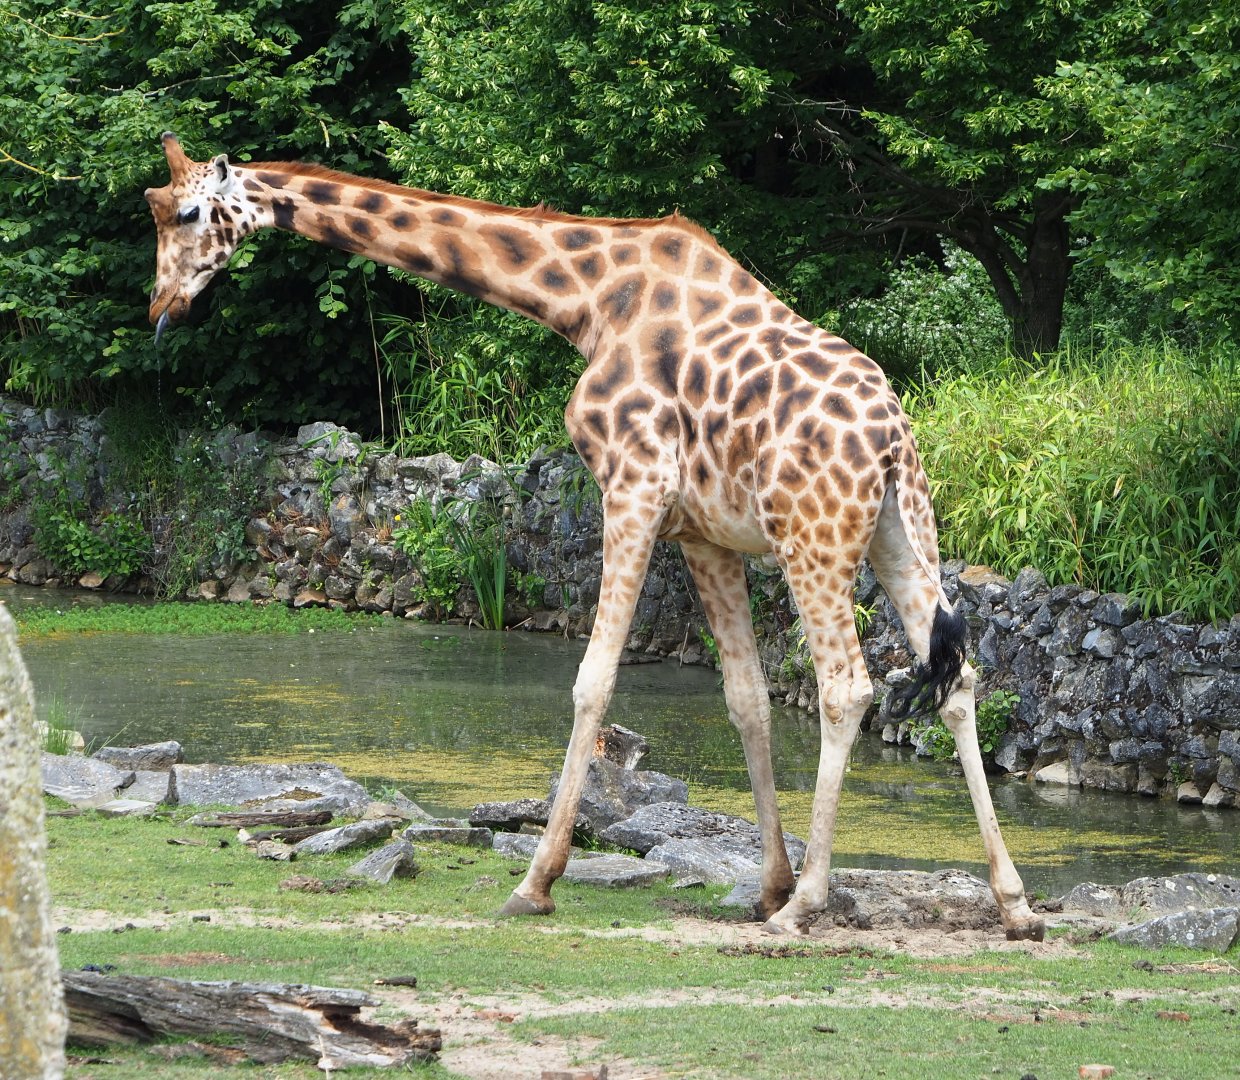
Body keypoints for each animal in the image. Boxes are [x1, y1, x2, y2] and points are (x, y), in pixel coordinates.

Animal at [145, 133, 1044, 941]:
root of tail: (891, 439)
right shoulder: (704, 534)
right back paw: (1013, 904)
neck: (583, 298)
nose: (161, 307)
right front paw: (766, 885)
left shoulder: (633, 486)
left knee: (847, 687)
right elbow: (745, 700)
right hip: (902, 528)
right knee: (959, 677)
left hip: (813, 536)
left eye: (187, 212)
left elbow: (593, 681)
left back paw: (811, 906)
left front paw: (536, 883)